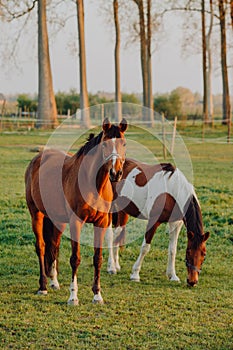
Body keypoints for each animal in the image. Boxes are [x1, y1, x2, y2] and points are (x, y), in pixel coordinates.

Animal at [25, 117, 127, 304]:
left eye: (123, 143)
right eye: (104, 145)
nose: (115, 173)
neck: (92, 184)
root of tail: (37, 159)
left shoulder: (101, 223)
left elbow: (97, 259)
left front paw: (97, 295)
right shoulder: (76, 222)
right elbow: (75, 259)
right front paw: (73, 297)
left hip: (57, 221)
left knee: (53, 245)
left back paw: (54, 282)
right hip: (36, 215)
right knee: (41, 246)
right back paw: (43, 286)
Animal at [107, 159, 209, 288]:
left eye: (204, 255)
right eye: (188, 252)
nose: (192, 281)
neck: (172, 189)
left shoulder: (175, 224)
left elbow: (172, 250)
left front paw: (173, 276)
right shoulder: (153, 221)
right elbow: (145, 248)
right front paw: (135, 274)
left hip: (122, 212)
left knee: (117, 235)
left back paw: (115, 265)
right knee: (110, 235)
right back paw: (111, 267)